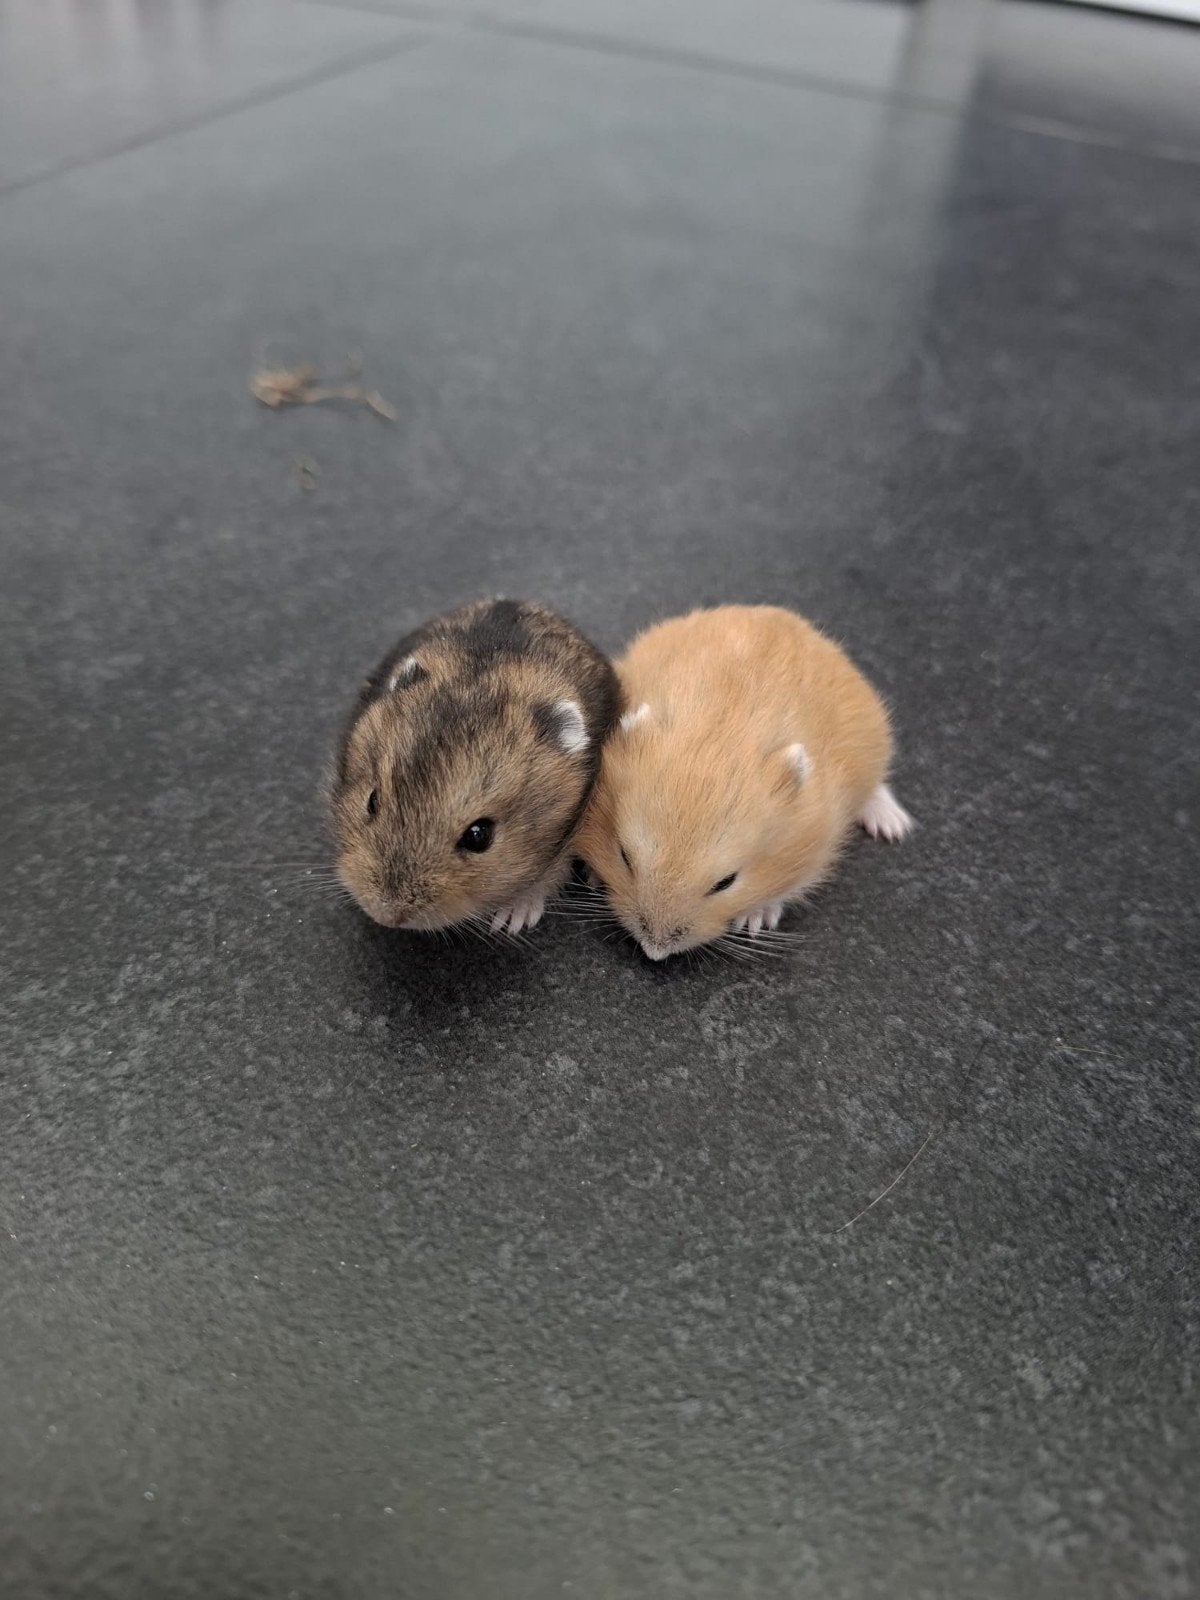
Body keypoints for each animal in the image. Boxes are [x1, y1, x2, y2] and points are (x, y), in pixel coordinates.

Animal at [575, 605, 914, 960]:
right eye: (624, 856)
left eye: (726, 883)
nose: (655, 952)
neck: (720, 737)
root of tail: (780, 614)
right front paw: (594, 876)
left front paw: (754, 922)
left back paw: (895, 827)